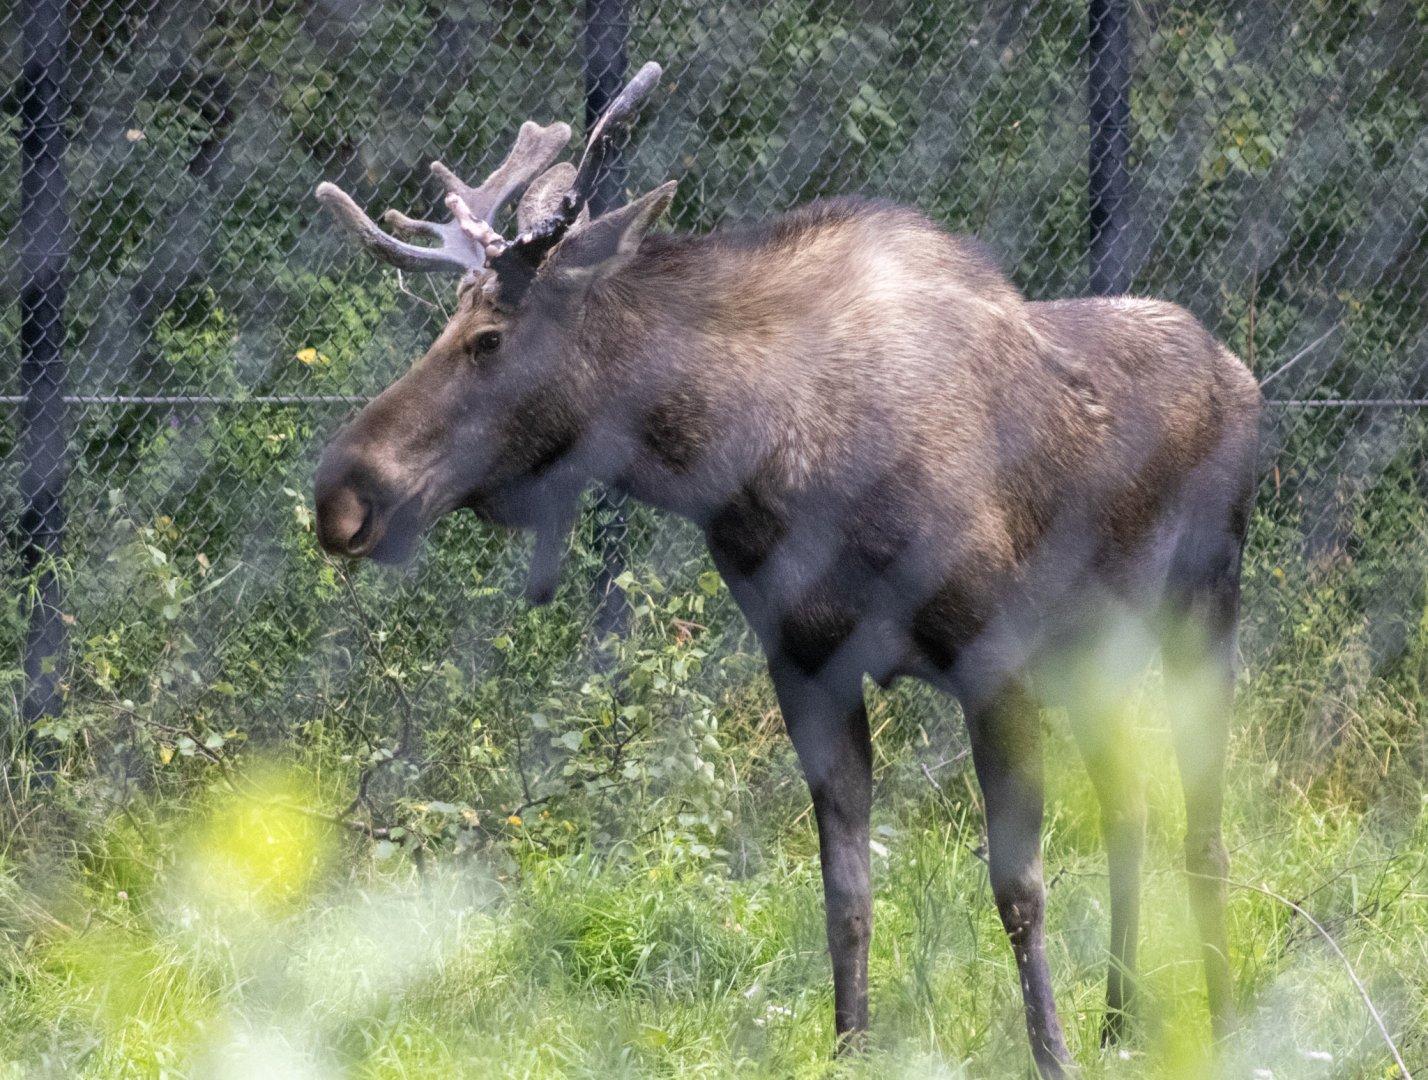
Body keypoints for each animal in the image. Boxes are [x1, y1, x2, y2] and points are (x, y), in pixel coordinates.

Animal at [311, 63, 1261, 1077]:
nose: (343, 493)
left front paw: (1053, 1055)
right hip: (1095, 650)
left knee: (1203, 828)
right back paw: (1121, 1022)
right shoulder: (806, 666)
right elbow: (844, 893)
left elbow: (1019, 888)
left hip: (1202, 604)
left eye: (488, 338)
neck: (752, 457)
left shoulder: (992, 659)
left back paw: (1223, 1022)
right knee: (1131, 809)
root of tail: (1241, 374)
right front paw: (853, 1044)